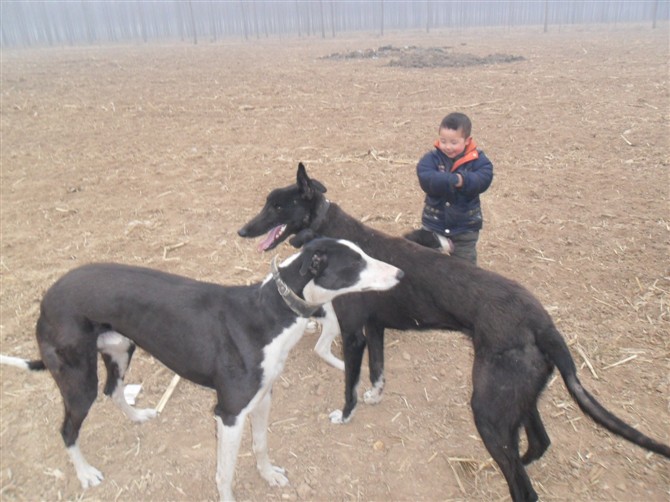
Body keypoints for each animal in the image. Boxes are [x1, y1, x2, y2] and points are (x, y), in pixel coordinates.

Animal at [0, 237, 404, 500]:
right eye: (355, 264)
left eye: (364, 253)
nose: (400, 274)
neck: (271, 311)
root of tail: (47, 298)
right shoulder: (229, 413)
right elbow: (225, 473)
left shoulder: (262, 398)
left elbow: (260, 445)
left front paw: (270, 475)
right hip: (77, 378)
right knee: (68, 428)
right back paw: (85, 473)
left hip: (120, 348)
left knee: (113, 389)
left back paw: (138, 417)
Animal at [238, 164, 670, 502]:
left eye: (277, 205)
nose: (242, 230)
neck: (333, 234)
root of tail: (544, 324)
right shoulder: (375, 328)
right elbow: (378, 373)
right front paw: (375, 397)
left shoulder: (354, 332)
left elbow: (350, 386)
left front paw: (345, 416)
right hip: (516, 399)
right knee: (536, 445)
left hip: (488, 408)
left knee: (525, 488)